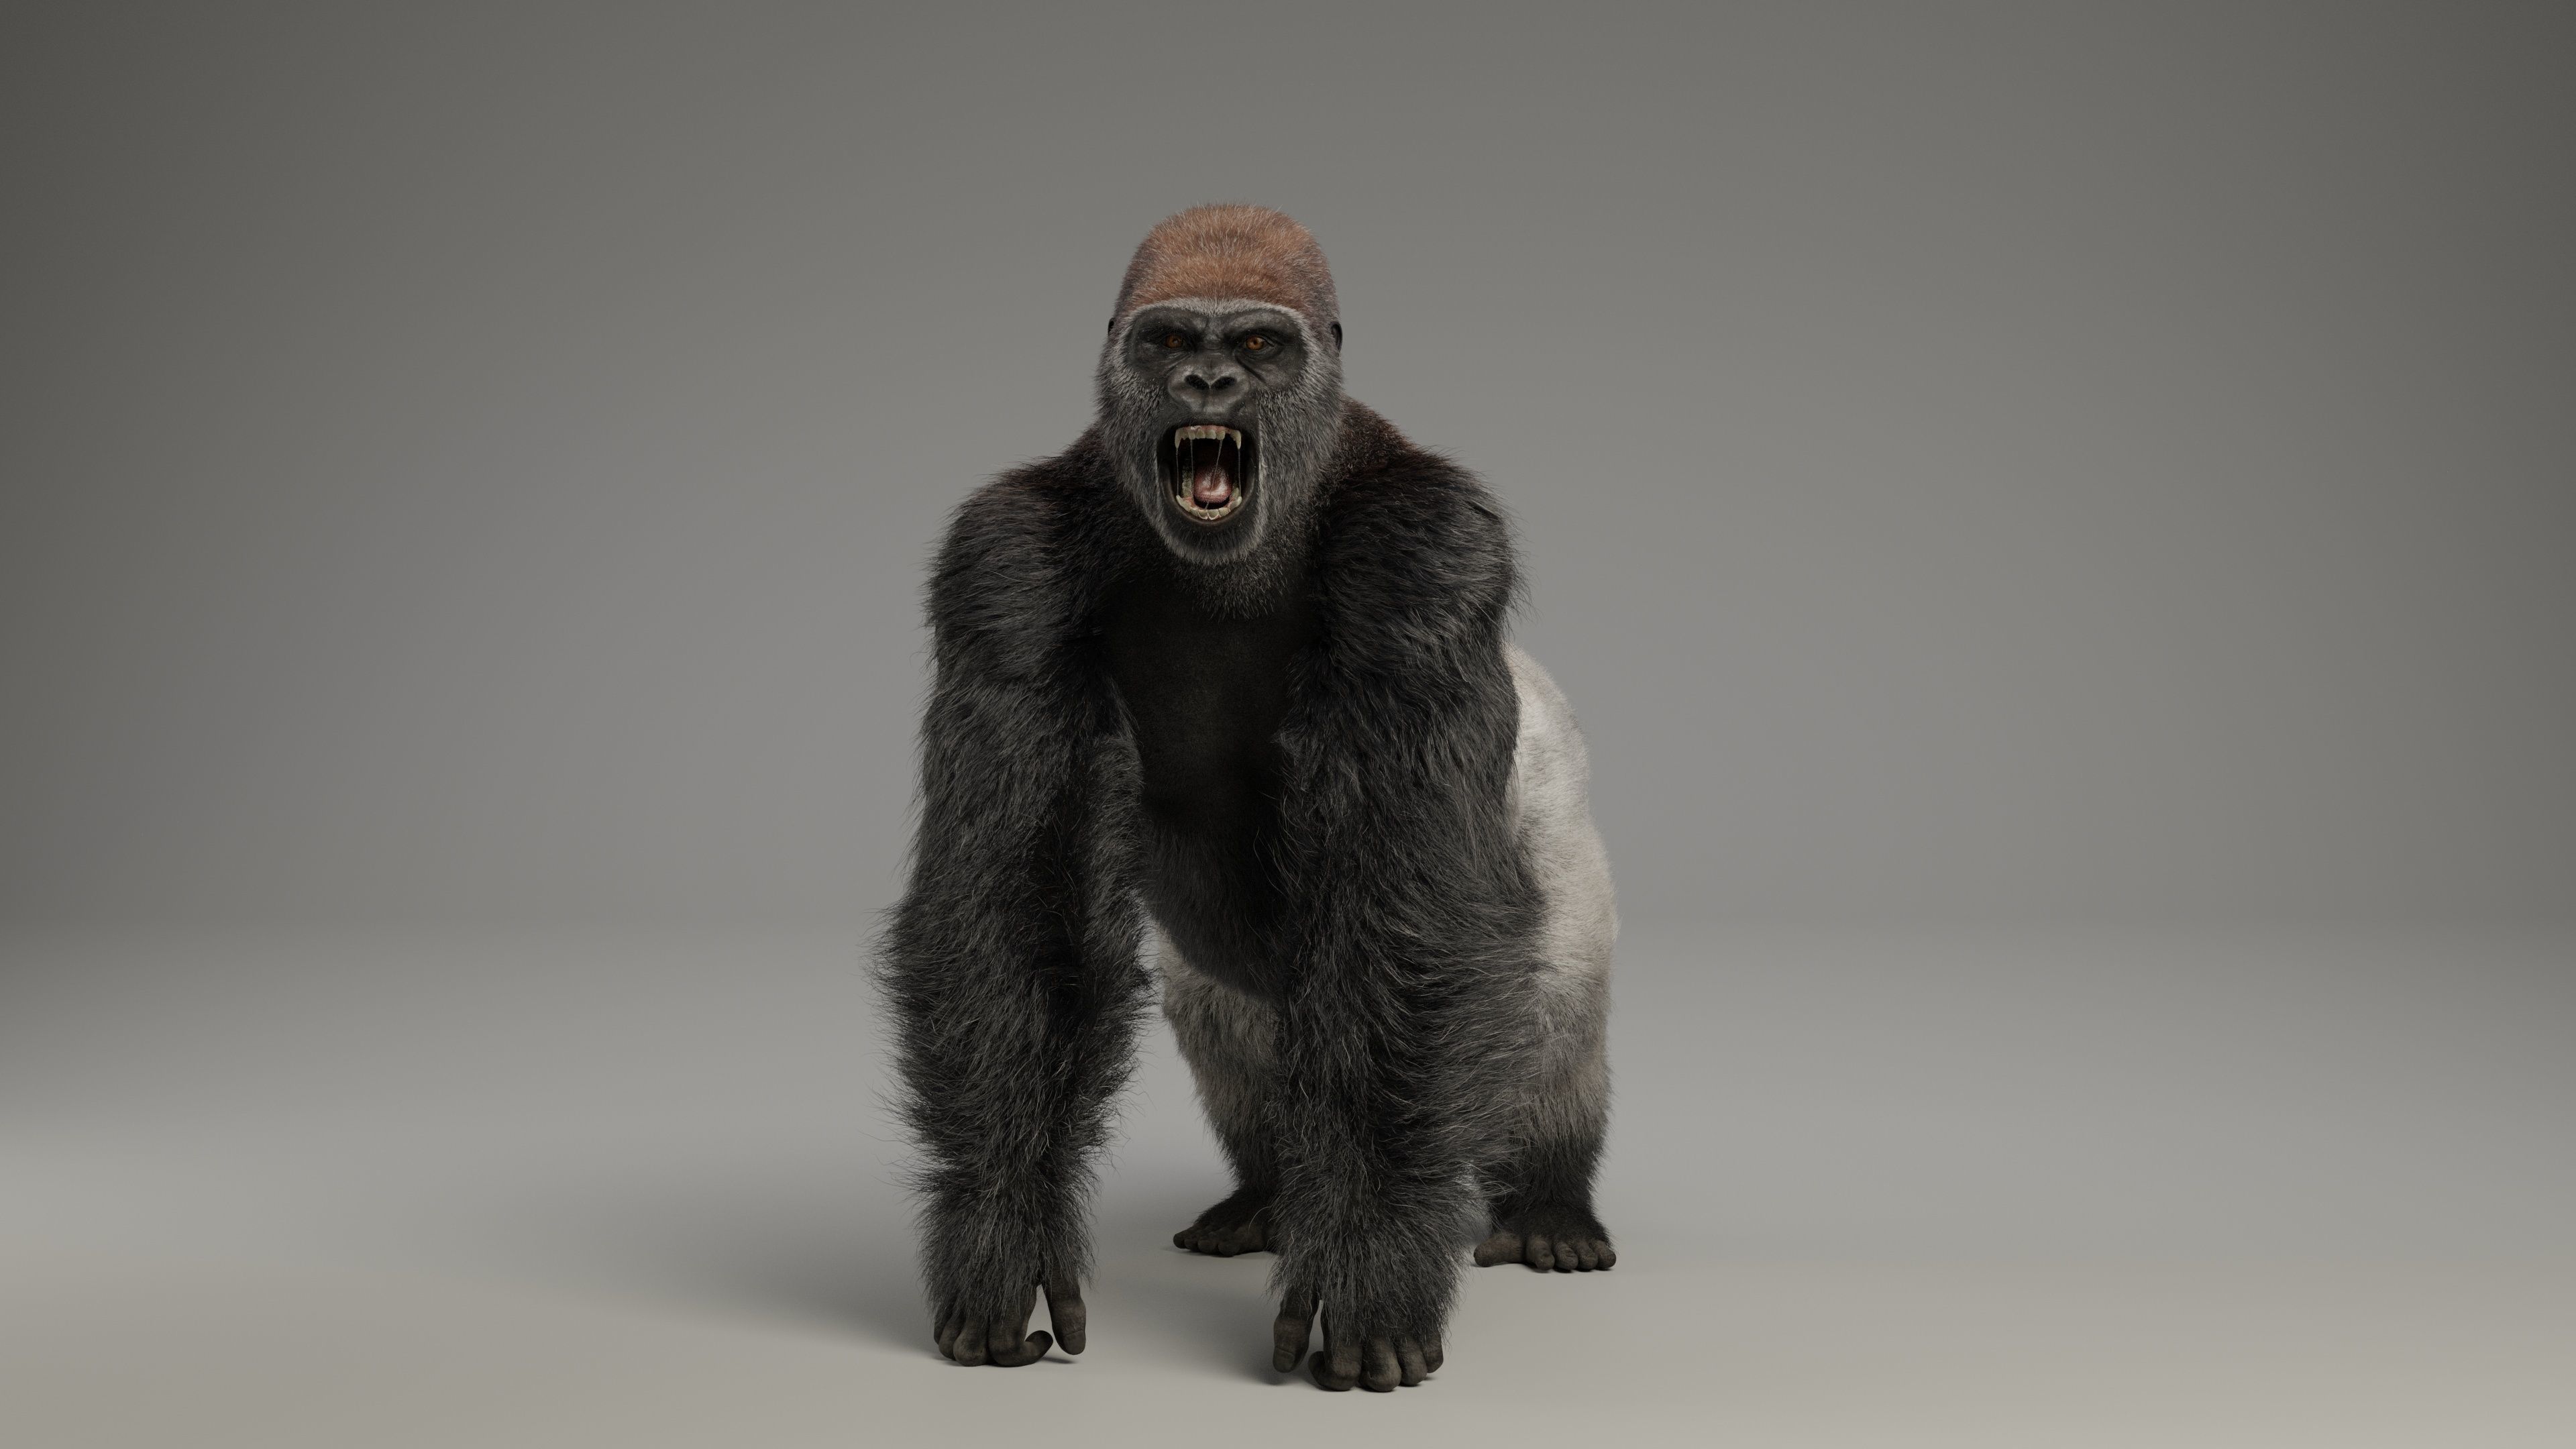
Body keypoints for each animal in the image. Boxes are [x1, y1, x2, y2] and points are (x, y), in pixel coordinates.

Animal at [880, 205, 1615, 1394]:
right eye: (1173, 342)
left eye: (1261, 346)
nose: (1212, 382)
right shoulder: (1003, 563)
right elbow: (1016, 915)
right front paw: (1002, 1230)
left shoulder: (1430, 550)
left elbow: (1410, 922)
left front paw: (1369, 1253)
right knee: (1235, 1034)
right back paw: (1269, 1196)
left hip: (1562, 826)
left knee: (1551, 1016)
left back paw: (1550, 1201)